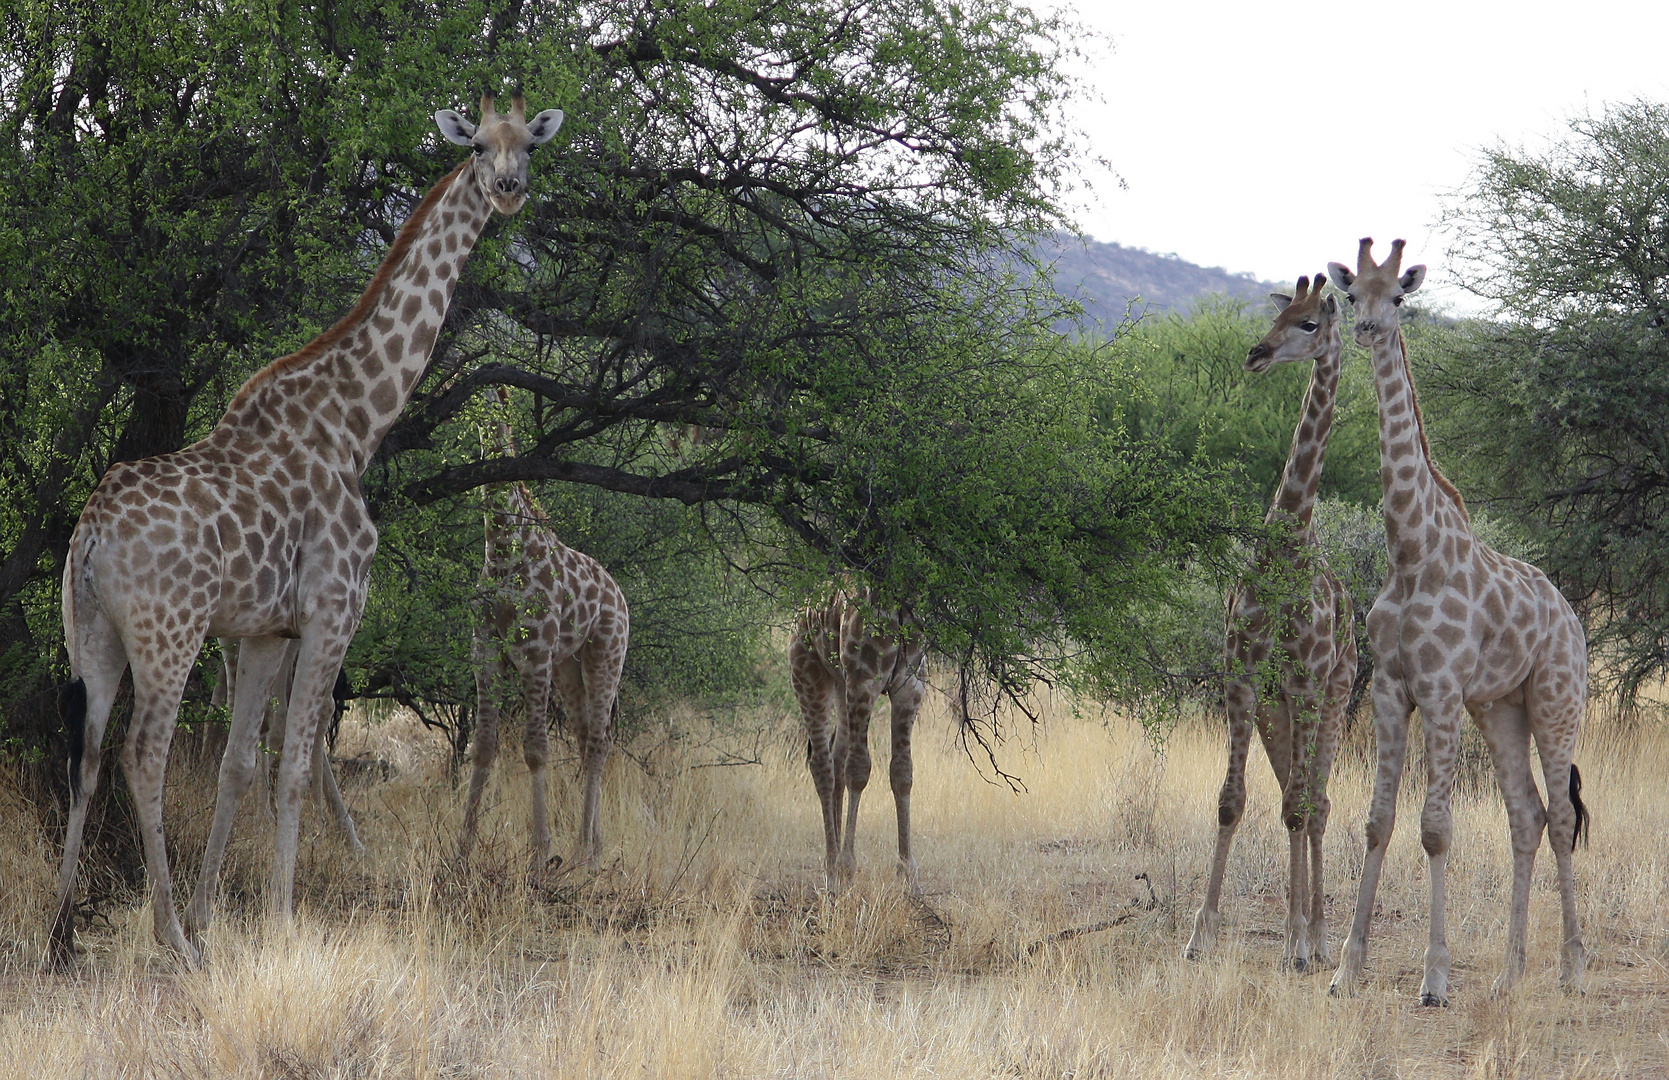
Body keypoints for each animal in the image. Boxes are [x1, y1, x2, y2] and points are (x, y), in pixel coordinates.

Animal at [53, 97, 567, 968]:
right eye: (476, 148)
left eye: (529, 145)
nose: (508, 189)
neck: (356, 422)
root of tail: (89, 535)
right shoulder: (335, 610)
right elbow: (294, 765)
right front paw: (278, 918)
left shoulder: (267, 629)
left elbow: (237, 763)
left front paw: (213, 912)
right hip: (168, 632)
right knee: (140, 755)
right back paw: (169, 941)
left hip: (94, 634)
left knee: (87, 753)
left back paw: (58, 931)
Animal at [457, 388, 627, 881]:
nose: (484, 420)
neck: (502, 552)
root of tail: (619, 594)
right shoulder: (485, 649)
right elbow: (483, 745)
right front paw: (462, 848)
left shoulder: (533, 651)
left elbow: (535, 749)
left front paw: (538, 854)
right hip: (568, 665)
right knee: (588, 735)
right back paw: (589, 846)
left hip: (606, 654)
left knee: (599, 741)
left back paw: (586, 851)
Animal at [791, 584, 934, 894]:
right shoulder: (864, 679)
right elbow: (858, 771)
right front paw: (847, 864)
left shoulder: (910, 685)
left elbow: (902, 773)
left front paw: (908, 873)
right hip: (808, 676)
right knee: (822, 764)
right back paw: (833, 870)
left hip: (841, 684)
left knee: (836, 756)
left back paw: (837, 864)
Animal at [1181, 272, 1361, 974]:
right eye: (1280, 312)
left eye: (1310, 323)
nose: (1256, 354)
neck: (1288, 541)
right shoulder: (1243, 674)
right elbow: (1232, 800)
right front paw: (1199, 933)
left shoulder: (1307, 682)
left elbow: (1297, 809)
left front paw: (1293, 941)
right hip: (1276, 710)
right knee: (1298, 792)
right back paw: (1310, 930)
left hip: (1335, 694)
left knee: (1317, 803)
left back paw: (1318, 937)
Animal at [1328, 237, 1588, 1008]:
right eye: (1351, 294)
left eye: (1400, 296)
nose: (1368, 329)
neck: (1411, 548)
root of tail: (1572, 619)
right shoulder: (1391, 688)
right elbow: (1378, 821)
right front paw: (1345, 968)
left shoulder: (1439, 691)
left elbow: (1435, 828)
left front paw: (1435, 978)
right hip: (1499, 708)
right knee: (1525, 814)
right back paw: (1508, 973)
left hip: (1554, 702)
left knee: (1561, 815)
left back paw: (1570, 967)